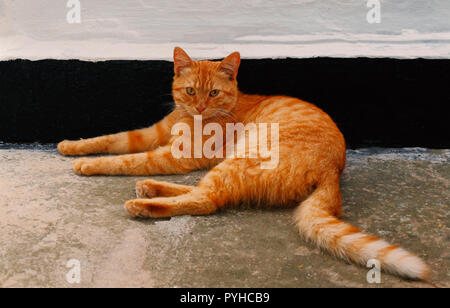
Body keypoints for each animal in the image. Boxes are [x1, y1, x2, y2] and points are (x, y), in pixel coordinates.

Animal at [58, 47, 430, 280]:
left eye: (213, 93)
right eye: (190, 91)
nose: (199, 107)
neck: (192, 118)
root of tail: (333, 170)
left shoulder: (175, 155)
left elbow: (126, 159)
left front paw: (89, 166)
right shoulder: (151, 135)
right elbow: (111, 139)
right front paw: (72, 146)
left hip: (239, 159)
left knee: (206, 199)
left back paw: (145, 204)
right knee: (202, 191)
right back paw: (150, 189)